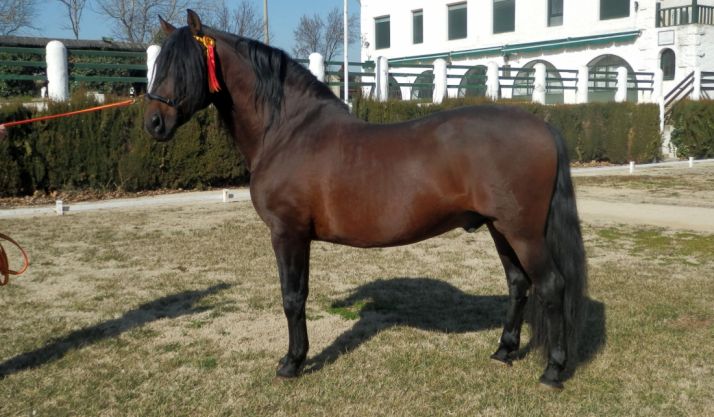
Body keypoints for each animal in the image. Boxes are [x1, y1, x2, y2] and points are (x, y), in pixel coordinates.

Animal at [144, 10, 588, 389]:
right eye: (156, 64)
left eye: (181, 66)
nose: (153, 123)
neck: (288, 130)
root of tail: (543, 127)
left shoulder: (288, 233)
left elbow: (293, 297)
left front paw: (292, 362)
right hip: (500, 229)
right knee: (518, 284)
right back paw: (503, 351)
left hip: (523, 232)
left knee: (551, 286)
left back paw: (553, 370)